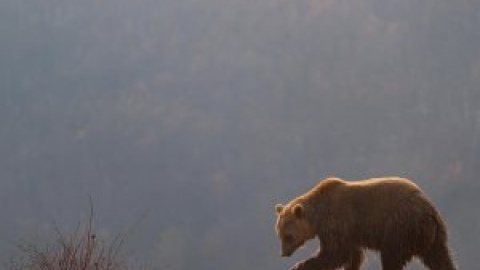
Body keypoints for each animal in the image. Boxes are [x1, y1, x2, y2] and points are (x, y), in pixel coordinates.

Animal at [274, 177, 458, 270]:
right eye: (279, 235)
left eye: (288, 236)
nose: (284, 253)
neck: (319, 216)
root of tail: (428, 210)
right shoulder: (349, 232)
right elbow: (353, 256)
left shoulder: (337, 223)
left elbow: (335, 254)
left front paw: (300, 266)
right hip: (435, 235)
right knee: (440, 258)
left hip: (400, 227)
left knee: (391, 257)